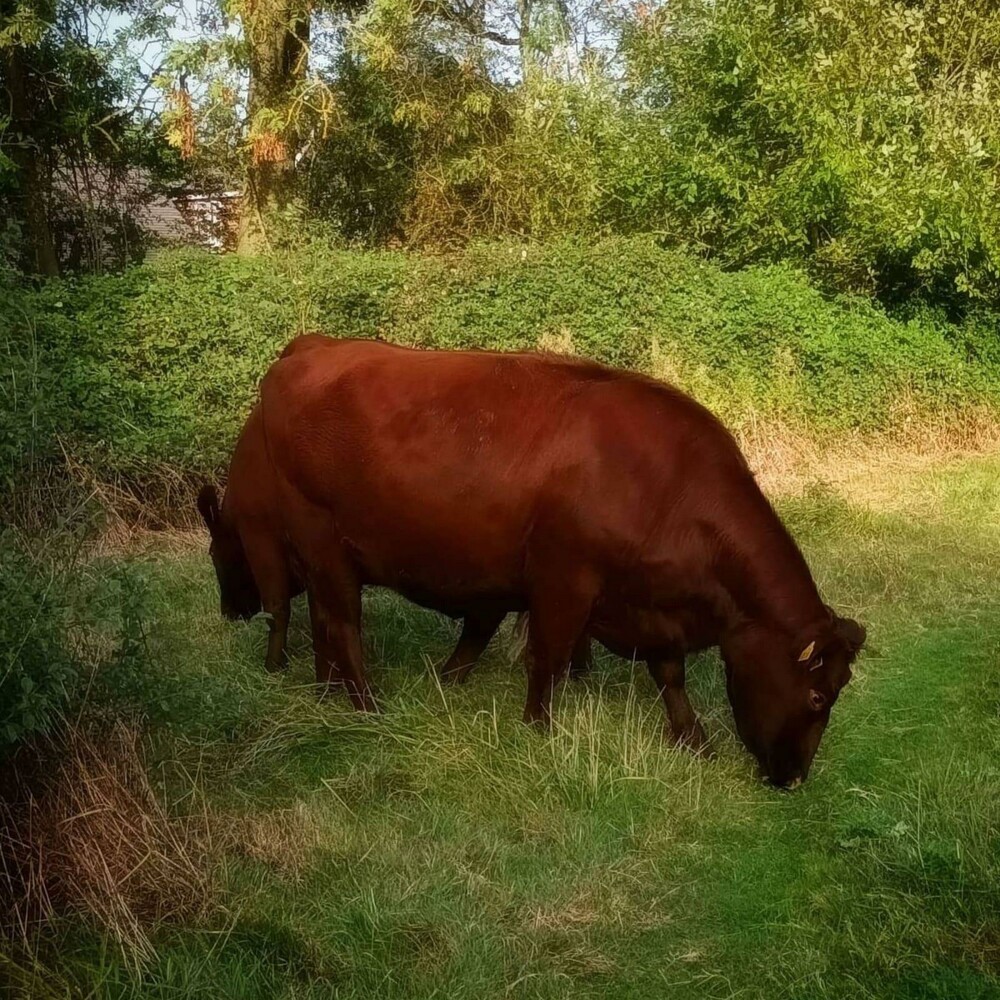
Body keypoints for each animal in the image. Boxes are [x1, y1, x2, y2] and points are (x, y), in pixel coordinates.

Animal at [254, 338, 864, 788]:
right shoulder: (563, 580)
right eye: (818, 695)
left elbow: (670, 675)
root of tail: (309, 351)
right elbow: (546, 657)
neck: (665, 485)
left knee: (324, 625)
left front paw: (693, 739)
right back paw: (366, 705)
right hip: (324, 545)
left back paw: (326, 695)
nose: (795, 779)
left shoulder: (652, 603)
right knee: (342, 624)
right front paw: (539, 728)